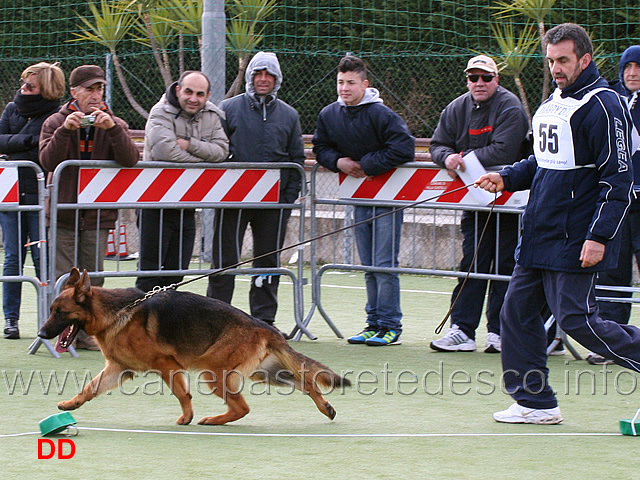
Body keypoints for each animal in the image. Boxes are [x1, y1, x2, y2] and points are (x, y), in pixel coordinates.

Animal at [38, 268, 350, 426]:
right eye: (51, 310)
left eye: (60, 312)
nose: (41, 333)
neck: (115, 312)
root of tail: (263, 326)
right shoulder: (118, 368)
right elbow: (89, 388)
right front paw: (71, 404)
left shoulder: (166, 365)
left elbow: (181, 393)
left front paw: (186, 417)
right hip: (267, 374)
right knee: (307, 382)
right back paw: (325, 407)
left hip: (214, 373)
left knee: (243, 407)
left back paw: (213, 420)